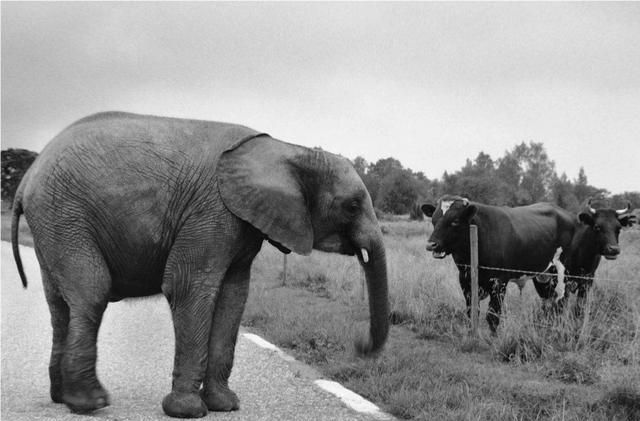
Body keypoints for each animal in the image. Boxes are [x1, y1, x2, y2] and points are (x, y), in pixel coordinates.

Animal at [11, 111, 390, 416]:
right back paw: (92, 403)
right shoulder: (212, 211)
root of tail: (27, 177)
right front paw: (188, 411)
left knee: (60, 305)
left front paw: (225, 406)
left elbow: (233, 296)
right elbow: (187, 287)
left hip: (54, 222)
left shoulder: (242, 222)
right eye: (352, 206)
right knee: (91, 293)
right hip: (64, 215)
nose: (359, 345)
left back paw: (63, 399)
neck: (287, 150)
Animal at [420, 194, 576, 332]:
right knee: (548, 302)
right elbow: (472, 312)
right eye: (433, 220)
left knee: (560, 302)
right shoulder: (465, 280)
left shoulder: (499, 282)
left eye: (455, 221)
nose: (431, 245)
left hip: (563, 272)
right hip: (543, 275)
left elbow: (492, 316)